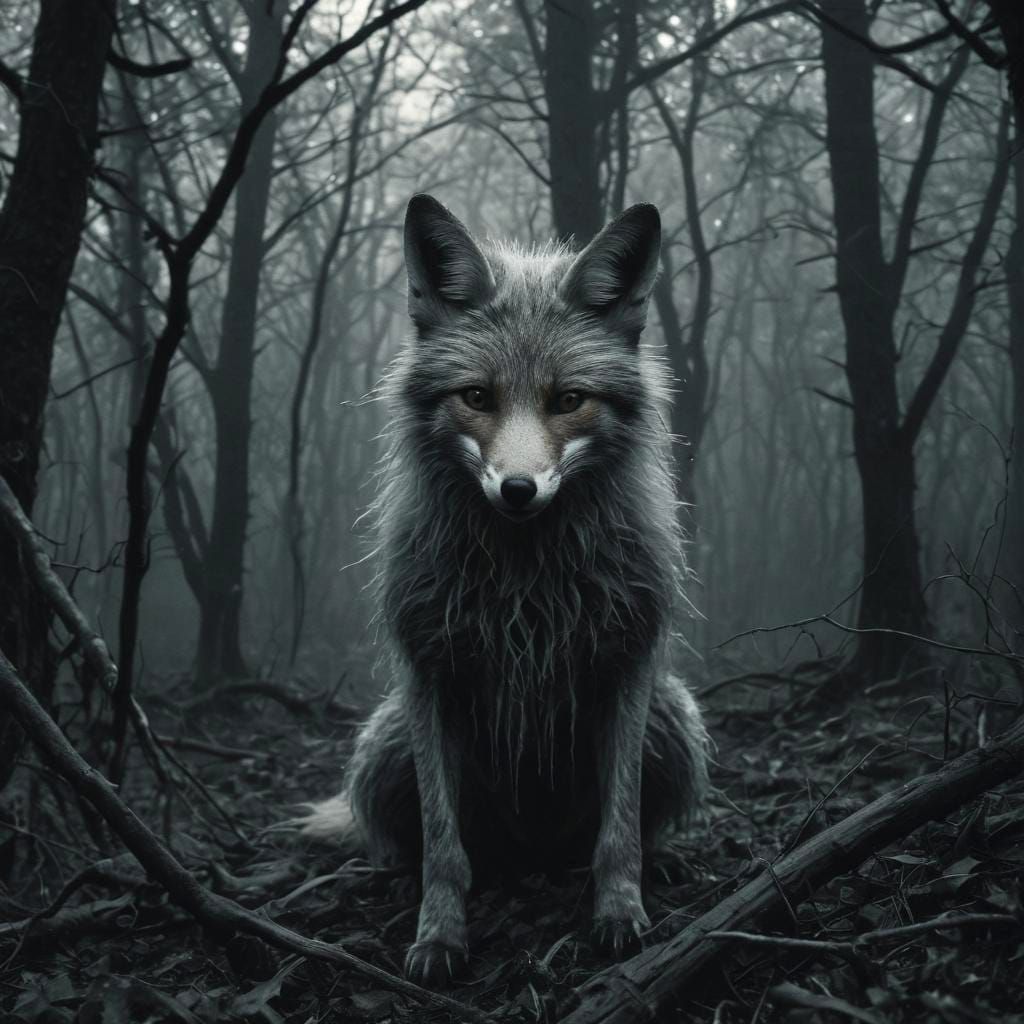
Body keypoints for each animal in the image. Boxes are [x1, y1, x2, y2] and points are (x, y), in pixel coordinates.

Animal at [302, 194, 709, 986]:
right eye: (477, 397)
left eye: (569, 400)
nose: (518, 490)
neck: (528, 583)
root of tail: (534, 851)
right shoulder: (427, 672)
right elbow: (444, 848)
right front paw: (439, 935)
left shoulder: (629, 661)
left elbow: (618, 832)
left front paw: (621, 914)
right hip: (389, 741)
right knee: (419, 840)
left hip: (673, 718)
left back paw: (664, 862)